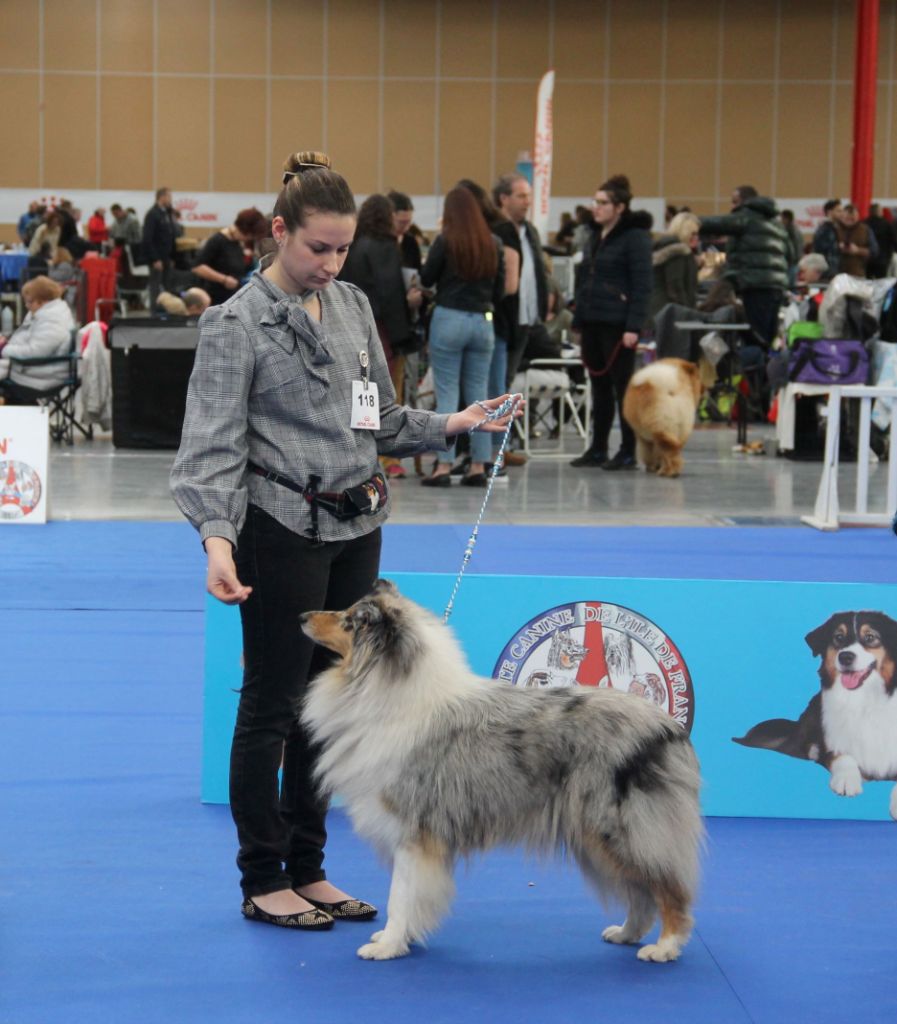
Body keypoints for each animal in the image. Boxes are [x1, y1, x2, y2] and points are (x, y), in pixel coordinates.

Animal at [296, 581, 704, 962]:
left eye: (349, 621)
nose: (302, 616)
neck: (385, 688)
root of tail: (668, 727)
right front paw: (398, 938)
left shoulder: (413, 831)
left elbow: (400, 895)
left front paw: (388, 945)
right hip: (600, 837)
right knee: (641, 892)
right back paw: (626, 933)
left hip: (621, 829)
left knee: (667, 888)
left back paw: (664, 947)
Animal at [733, 610, 897, 819]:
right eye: (838, 637)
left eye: (870, 637)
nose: (845, 657)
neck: (863, 702)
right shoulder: (831, 743)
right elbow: (842, 756)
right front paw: (847, 780)